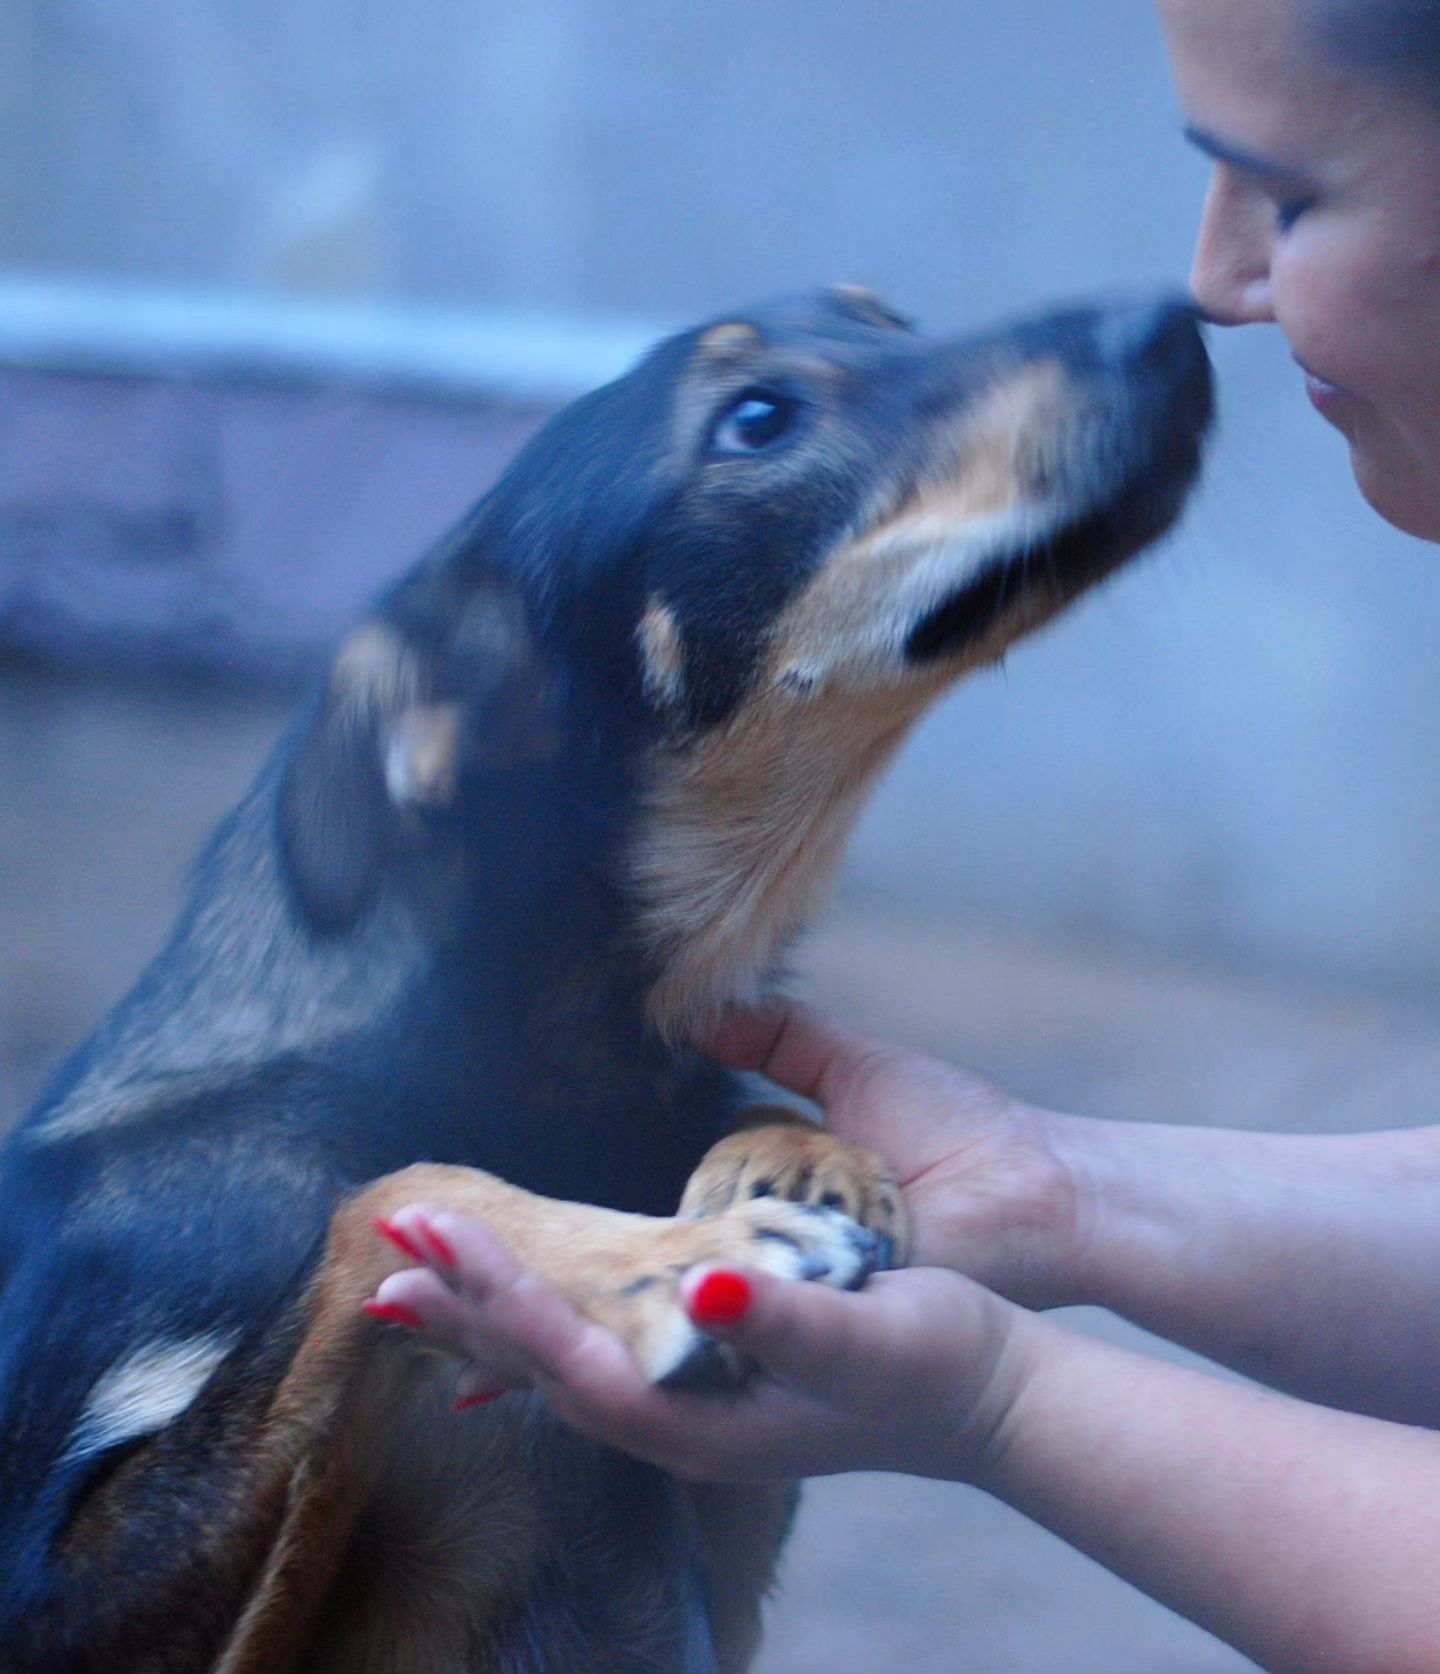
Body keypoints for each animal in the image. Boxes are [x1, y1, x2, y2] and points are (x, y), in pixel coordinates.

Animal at [0, 291, 1212, 1674]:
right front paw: (661, 1262)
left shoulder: (724, 1575)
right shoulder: (47, 1581)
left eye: (886, 317)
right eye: (756, 418)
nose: (1172, 318)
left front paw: (795, 1160)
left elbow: (744, 1104)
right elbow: (400, 1194)